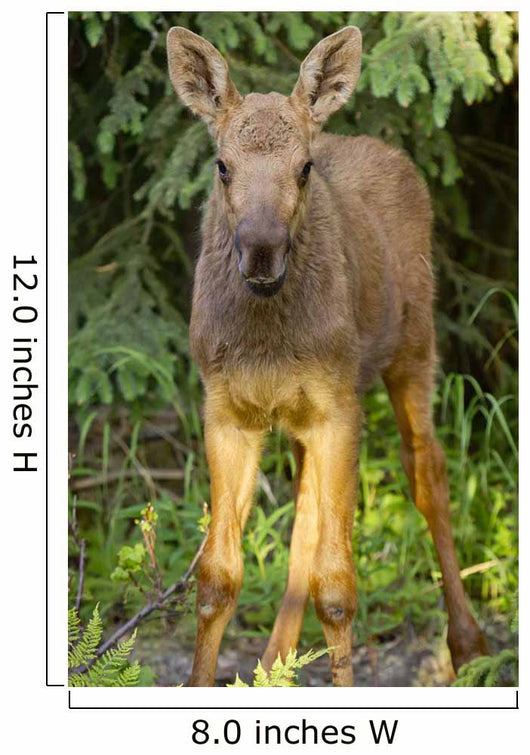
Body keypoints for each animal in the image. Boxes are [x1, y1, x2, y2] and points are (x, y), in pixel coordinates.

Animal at [166, 25, 488, 687]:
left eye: (305, 167)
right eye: (222, 166)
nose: (262, 252)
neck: (267, 340)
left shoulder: (340, 407)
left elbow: (338, 589)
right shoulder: (228, 409)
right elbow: (216, 580)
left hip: (413, 348)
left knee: (428, 470)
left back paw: (468, 645)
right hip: (305, 415)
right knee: (307, 513)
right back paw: (272, 665)